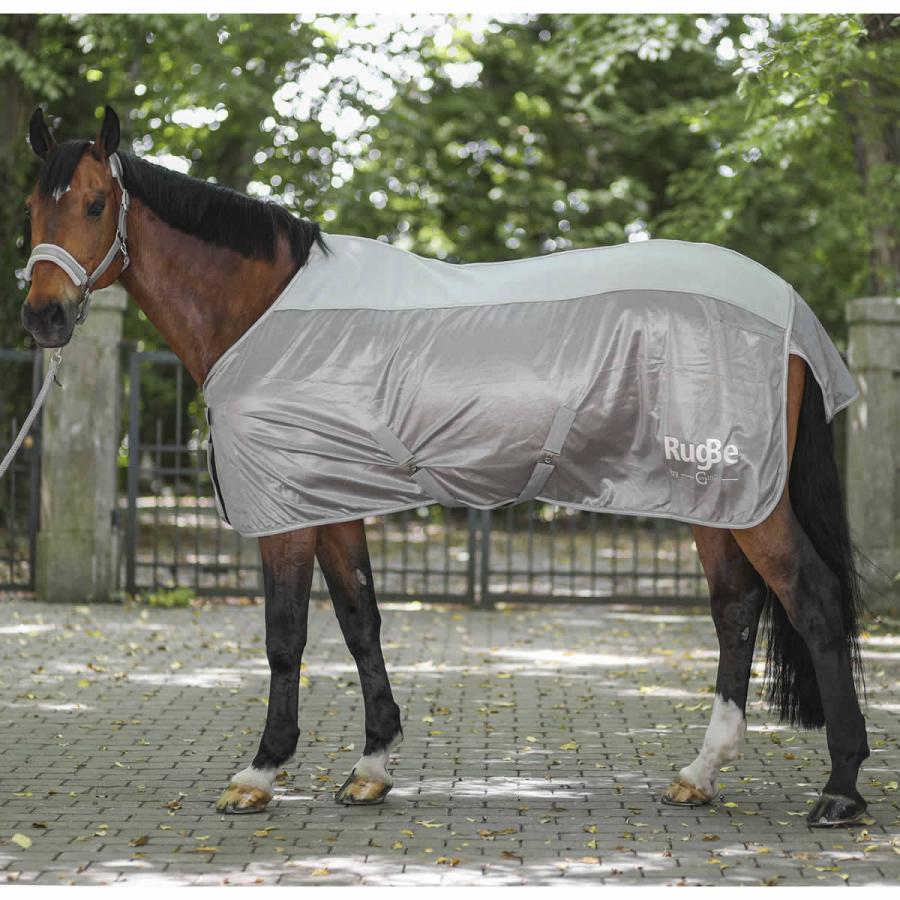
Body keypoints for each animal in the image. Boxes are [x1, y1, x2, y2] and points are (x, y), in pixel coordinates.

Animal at [20, 105, 869, 827]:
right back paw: (701, 773)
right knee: (737, 609)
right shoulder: (334, 504)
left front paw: (258, 775)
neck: (264, 314)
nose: (44, 317)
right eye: (32, 206)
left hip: (747, 495)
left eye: (95, 204)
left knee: (813, 599)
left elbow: (286, 636)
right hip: (714, 496)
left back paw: (840, 788)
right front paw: (372, 766)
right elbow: (360, 622)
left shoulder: (288, 510)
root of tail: (792, 312)